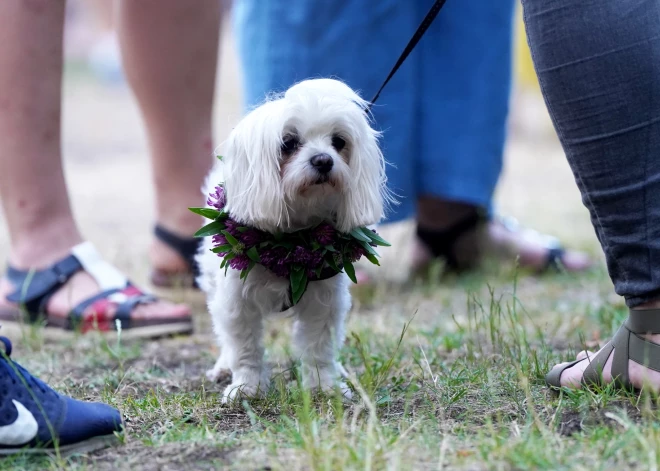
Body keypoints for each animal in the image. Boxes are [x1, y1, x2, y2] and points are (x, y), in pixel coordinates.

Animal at [196, 79, 392, 404]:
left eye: (339, 142)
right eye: (288, 143)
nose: (324, 160)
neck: (294, 240)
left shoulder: (324, 299)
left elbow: (319, 346)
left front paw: (325, 385)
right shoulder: (237, 300)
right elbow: (244, 347)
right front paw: (246, 386)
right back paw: (223, 367)